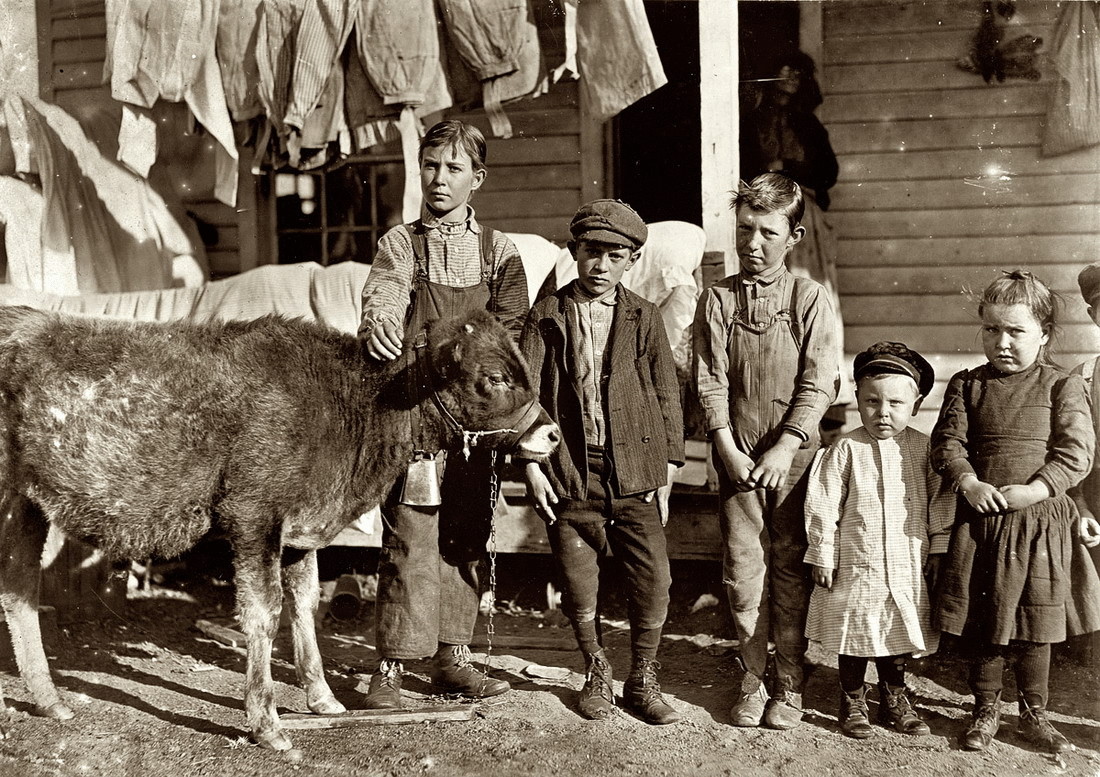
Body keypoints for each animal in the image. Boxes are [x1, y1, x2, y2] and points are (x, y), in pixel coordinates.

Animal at [0, 305, 558, 748]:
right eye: (494, 378)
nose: (552, 433)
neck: (350, 405)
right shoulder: (253, 517)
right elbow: (264, 613)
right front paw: (266, 723)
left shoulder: (299, 533)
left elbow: (305, 606)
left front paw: (323, 699)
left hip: (27, 506)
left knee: (19, 592)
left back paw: (51, 700)